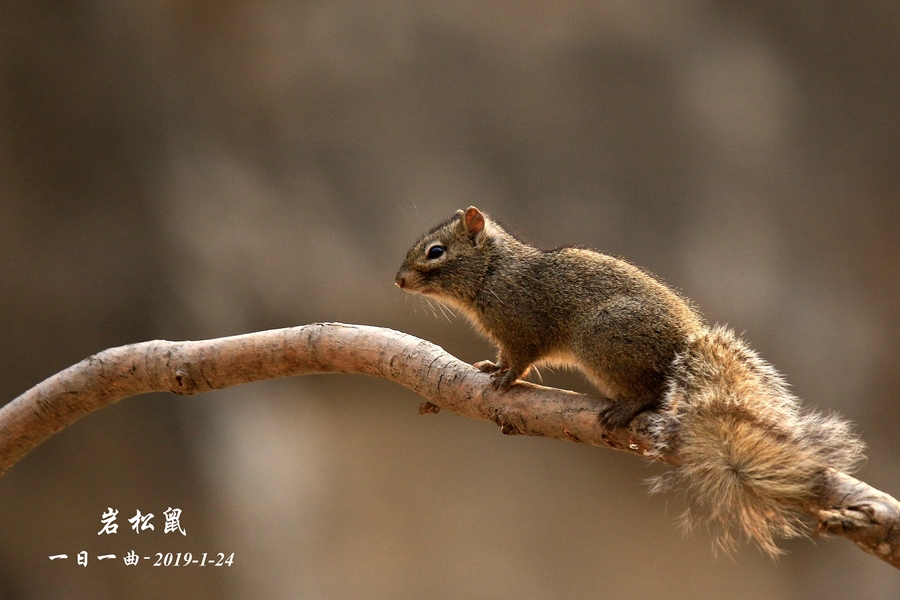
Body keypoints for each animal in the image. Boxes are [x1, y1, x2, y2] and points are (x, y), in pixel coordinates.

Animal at [394, 206, 864, 556]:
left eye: (436, 251)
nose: (398, 280)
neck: (493, 272)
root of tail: (683, 347)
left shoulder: (523, 329)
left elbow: (521, 362)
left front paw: (504, 379)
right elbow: (504, 358)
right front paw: (491, 369)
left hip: (602, 341)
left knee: (654, 395)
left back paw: (626, 407)